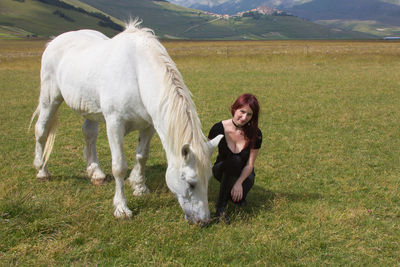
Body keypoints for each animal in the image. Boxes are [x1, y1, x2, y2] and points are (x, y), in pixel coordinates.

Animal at [30, 21, 225, 225]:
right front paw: (121, 208)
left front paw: (140, 188)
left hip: (89, 108)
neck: (137, 74)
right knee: (41, 131)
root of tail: (55, 41)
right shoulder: (115, 125)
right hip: (50, 99)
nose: (204, 220)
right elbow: (119, 167)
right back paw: (42, 170)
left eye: (209, 178)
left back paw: (96, 173)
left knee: (89, 135)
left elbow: (142, 156)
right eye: (191, 183)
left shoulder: (149, 126)